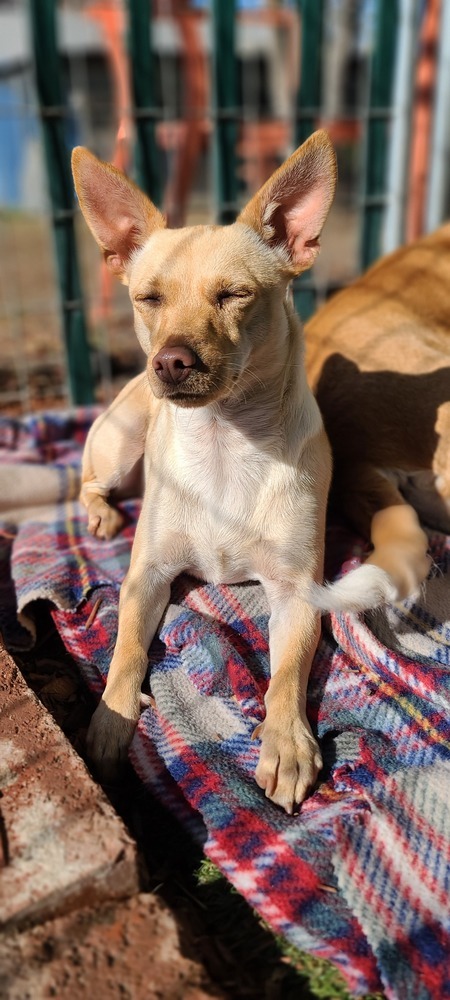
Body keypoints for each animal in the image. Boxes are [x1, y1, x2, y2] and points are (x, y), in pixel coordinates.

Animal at [71, 129, 338, 812]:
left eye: (235, 295)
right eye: (148, 300)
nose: (170, 360)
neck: (224, 440)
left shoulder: (298, 593)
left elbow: (287, 672)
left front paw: (287, 743)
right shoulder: (147, 577)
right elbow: (125, 649)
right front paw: (110, 720)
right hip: (119, 441)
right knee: (87, 481)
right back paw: (101, 512)